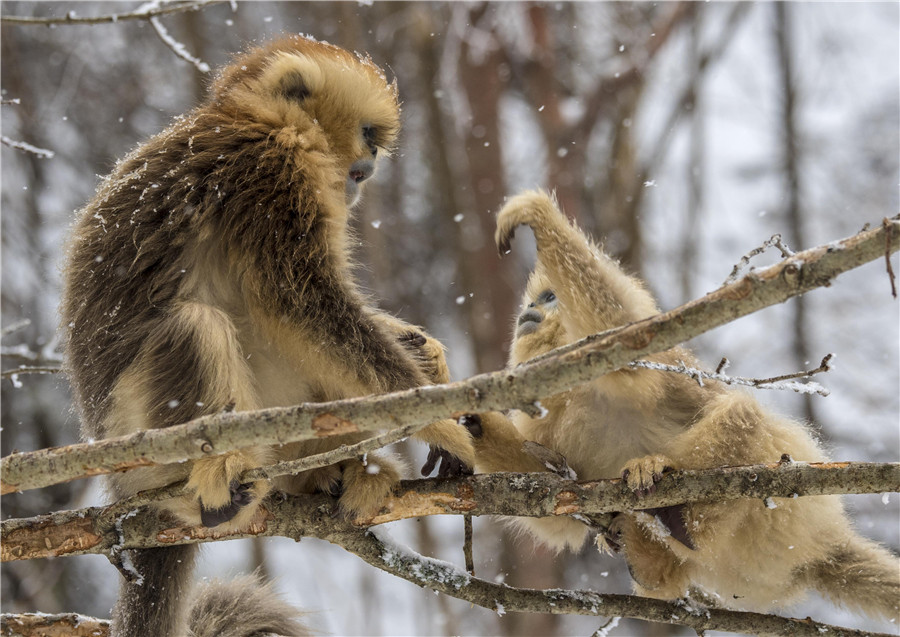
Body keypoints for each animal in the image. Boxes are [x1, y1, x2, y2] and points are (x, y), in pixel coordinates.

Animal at [59, 33, 474, 636]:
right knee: (195, 326)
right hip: (136, 440)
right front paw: (444, 420)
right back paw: (218, 487)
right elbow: (300, 304)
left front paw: (432, 362)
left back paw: (337, 473)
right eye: (369, 133)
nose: (372, 163)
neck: (252, 118)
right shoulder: (271, 172)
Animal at [464, 188, 900, 620]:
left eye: (550, 297)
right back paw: (647, 558)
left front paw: (534, 212)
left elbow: (625, 339)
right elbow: (551, 506)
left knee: (745, 416)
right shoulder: (545, 425)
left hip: (783, 512)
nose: (527, 312)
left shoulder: (653, 360)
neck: (575, 394)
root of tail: (823, 546)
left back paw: (671, 511)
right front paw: (470, 421)